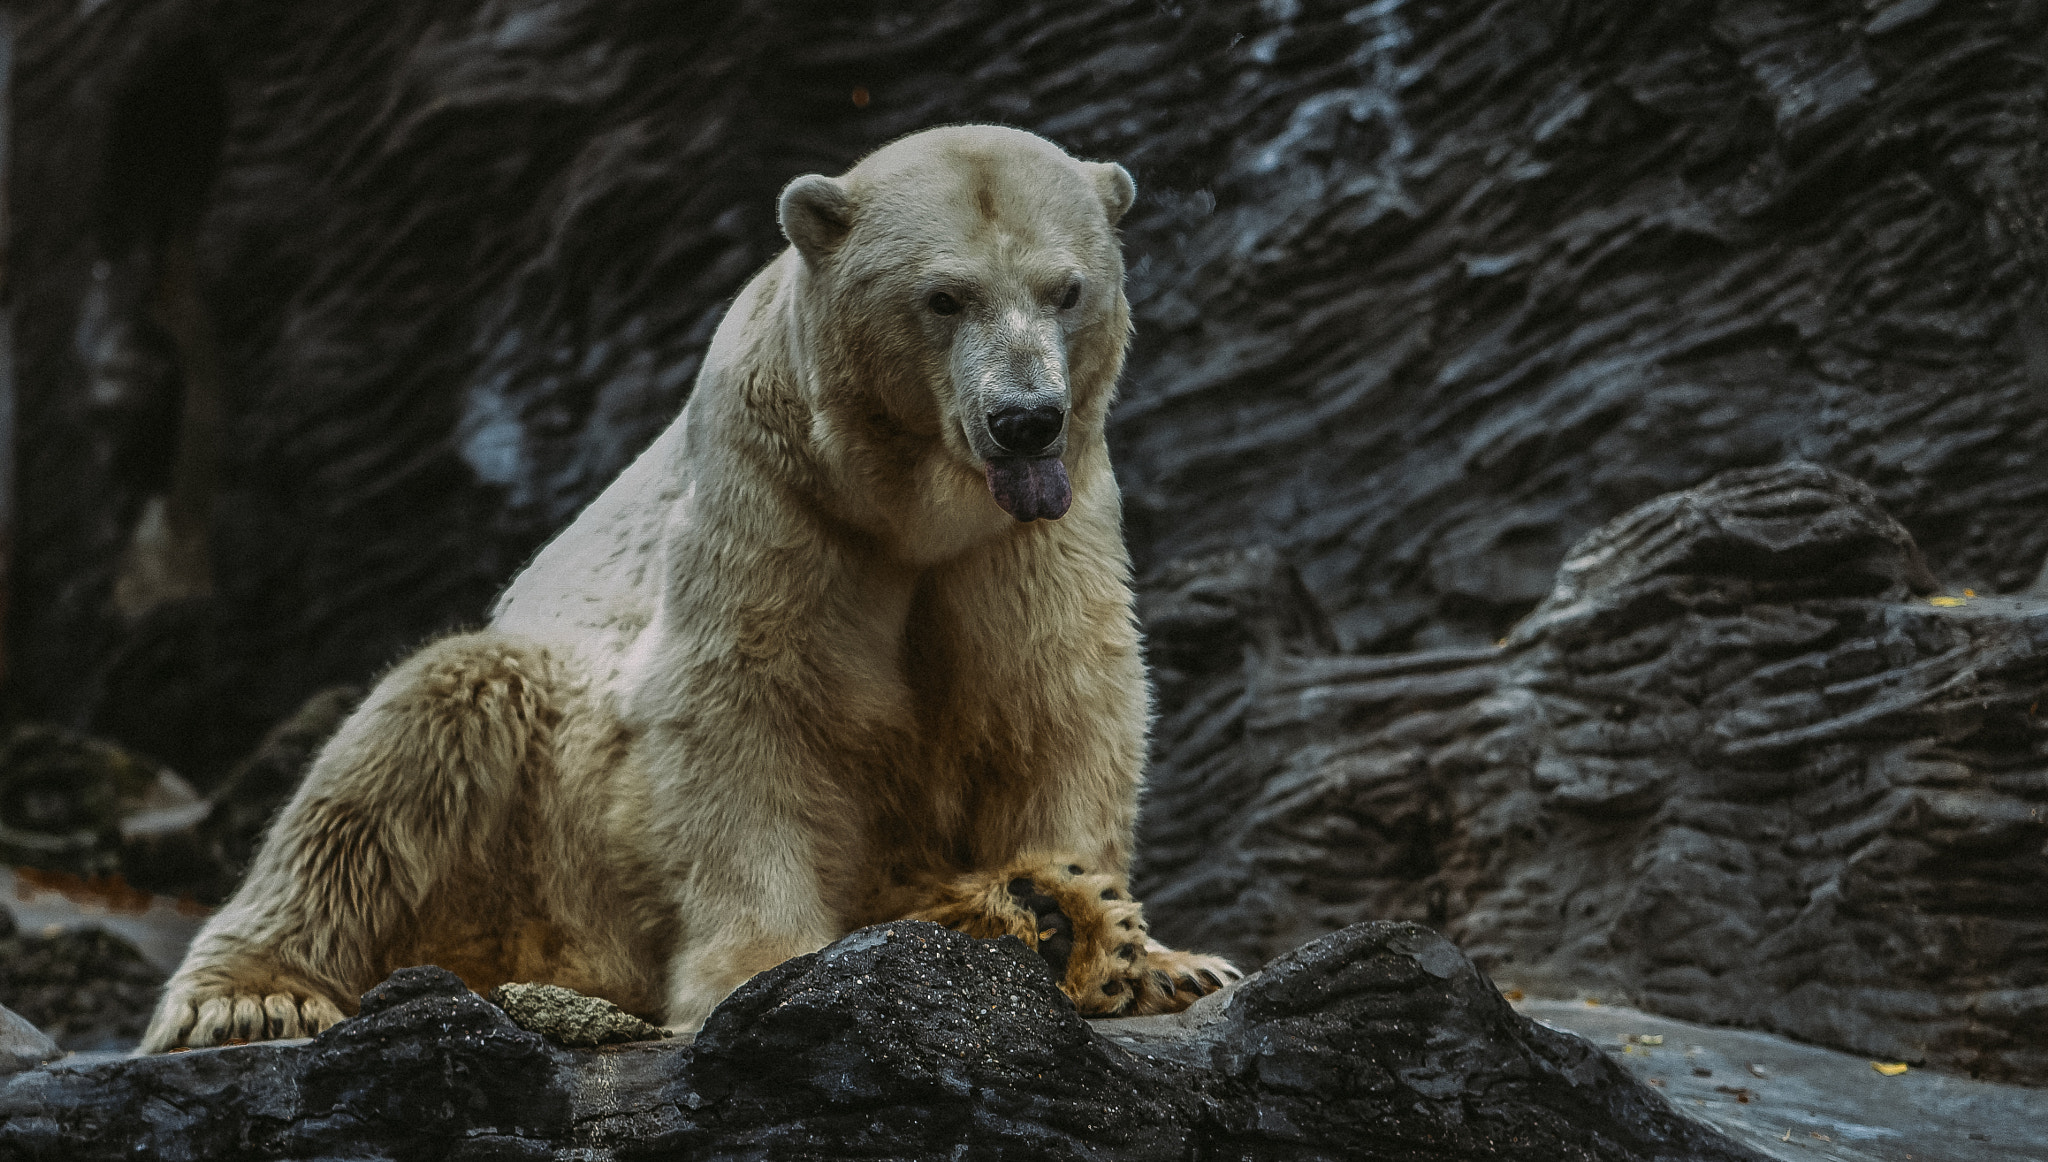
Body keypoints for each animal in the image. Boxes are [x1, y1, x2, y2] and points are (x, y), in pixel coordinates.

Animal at [144, 127, 1236, 1057]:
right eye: (943, 297)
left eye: (1067, 290)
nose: (1024, 419)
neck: (906, 503)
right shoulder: (775, 498)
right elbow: (739, 708)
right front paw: (761, 966)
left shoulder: (1033, 531)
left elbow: (1055, 702)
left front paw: (1140, 951)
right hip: (539, 825)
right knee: (406, 744)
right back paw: (250, 996)